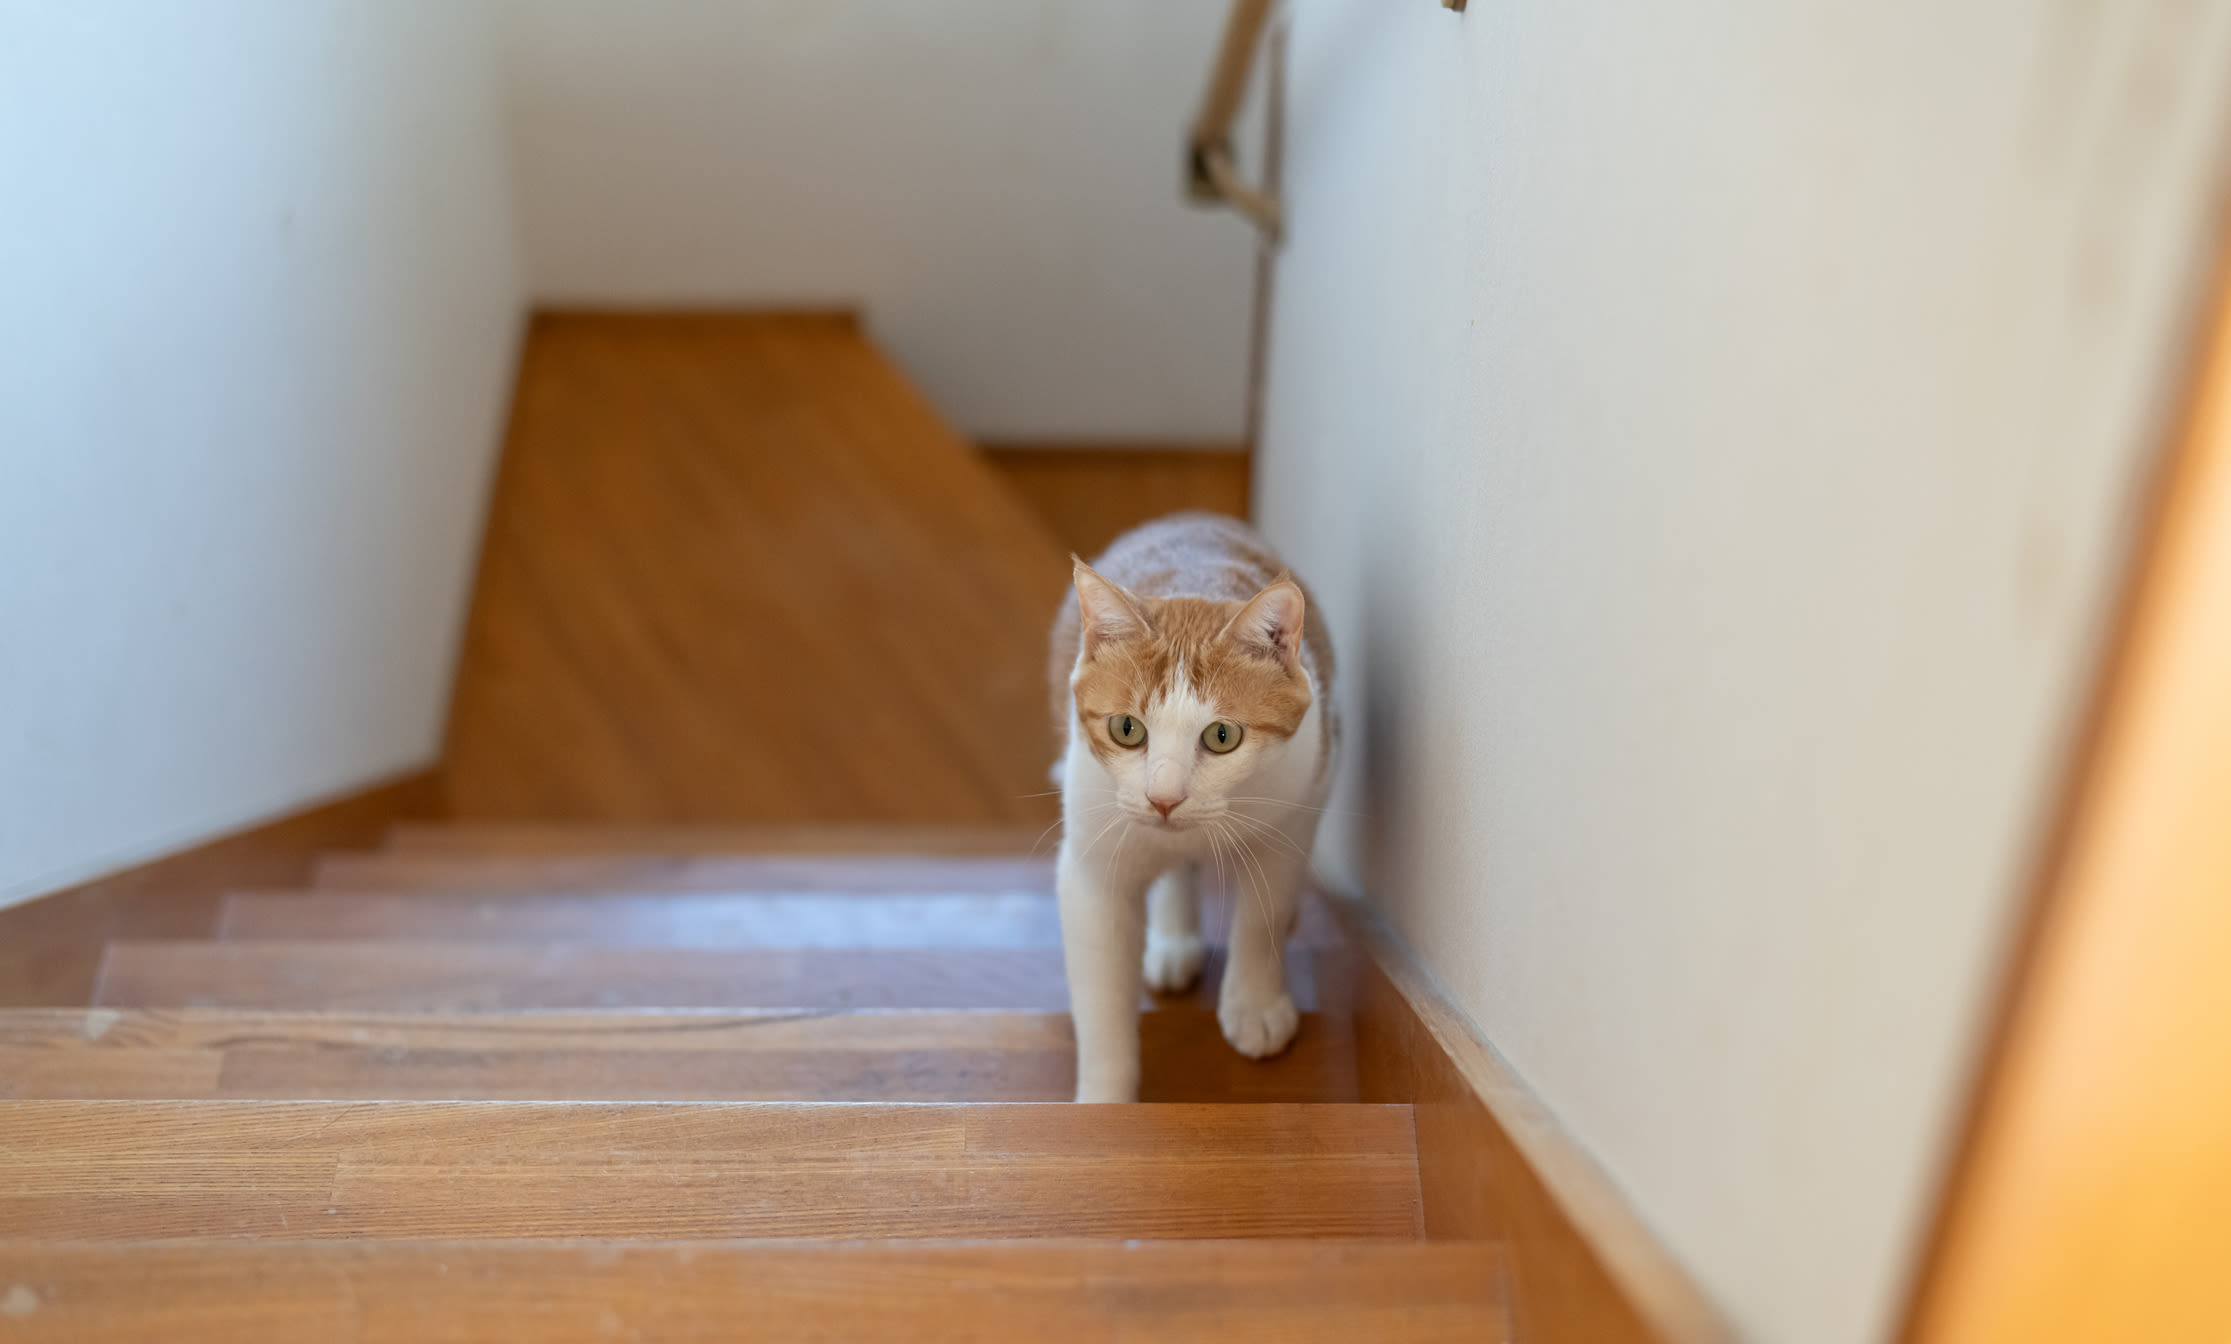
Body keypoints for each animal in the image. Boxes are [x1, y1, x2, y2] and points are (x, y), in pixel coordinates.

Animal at [1048, 513, 1338, 1098]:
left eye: (1222, 735)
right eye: (1127, 729)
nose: (1164, 798)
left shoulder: (1292, 821)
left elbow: (1262, 918)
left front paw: (1254, 1005)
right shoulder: (1092, 872)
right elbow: (1102, 1000)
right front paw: (1105, 1101)